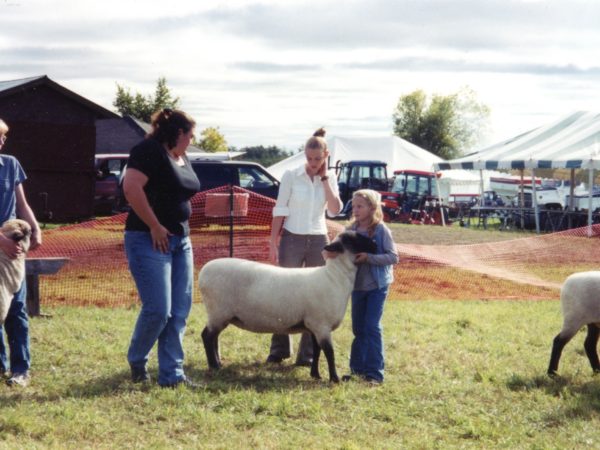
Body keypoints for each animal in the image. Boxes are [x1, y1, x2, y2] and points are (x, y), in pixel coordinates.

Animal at [199, 232, 378, 384]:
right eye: (353, 239)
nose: (376, 244)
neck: (335, 277)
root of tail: (203, 272)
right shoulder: (322, 325)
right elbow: (329, 352)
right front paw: (335, 379)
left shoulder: (314, 326)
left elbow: (317, 350)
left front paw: (316, 375)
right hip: (218, 311)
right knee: (207, 336)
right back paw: (214, 366)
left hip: (219, 314)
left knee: (213, 337)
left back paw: (218, 363)